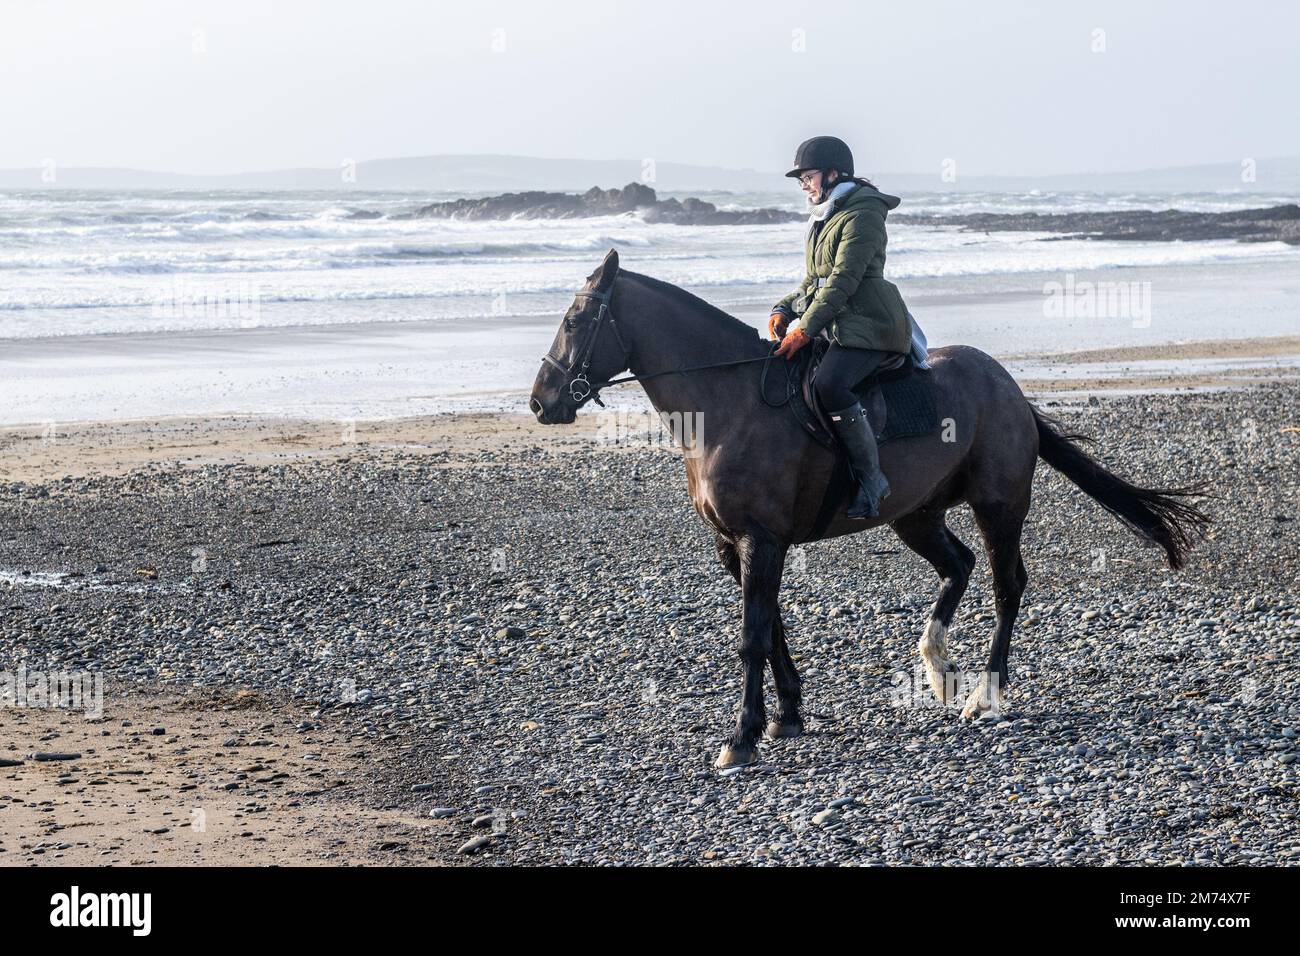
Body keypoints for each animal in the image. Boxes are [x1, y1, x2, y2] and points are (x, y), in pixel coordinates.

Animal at [527, 252, 1206, 770]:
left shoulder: (760, 539)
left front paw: (741, 738)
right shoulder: (737, 545)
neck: (725, 401)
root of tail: (1007, 385)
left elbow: (752, 636)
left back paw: (983, 694)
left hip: (999, 505)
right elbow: (771, 627)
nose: (540, 402)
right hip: (917, 516)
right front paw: (787, 716)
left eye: (577, 319)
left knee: (1006, 584)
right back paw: (937, 665)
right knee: (957, 567)